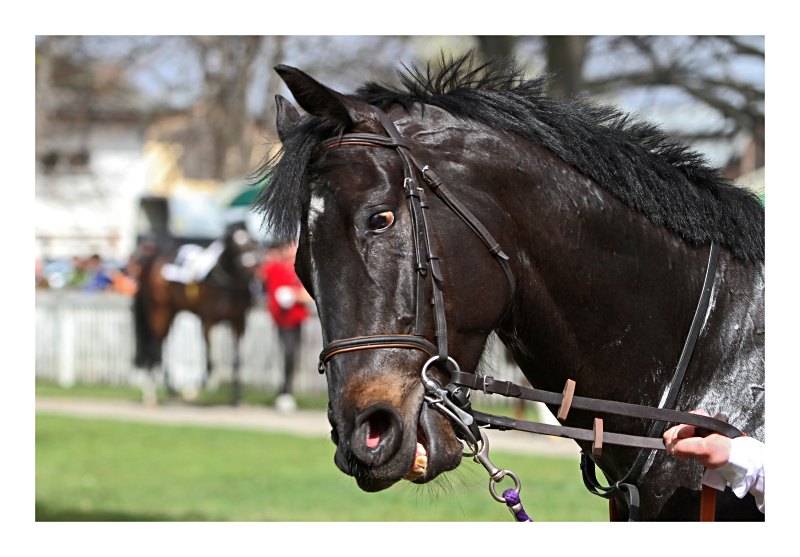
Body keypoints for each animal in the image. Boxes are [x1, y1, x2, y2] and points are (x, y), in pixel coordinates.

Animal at [133, 220, 260, 404]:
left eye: (251, 242)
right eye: (234, 245)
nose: (252, 271)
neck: (226, 284)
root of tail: (150, 261)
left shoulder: (239, 321)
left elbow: (236, 360)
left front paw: (237, 397)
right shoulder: (208, 320)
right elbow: (210, 360)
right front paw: (198, 385)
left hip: (172, 312)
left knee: (163, 347)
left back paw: (170, 389)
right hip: (159, 311)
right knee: (154, 348)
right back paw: (151, 393)